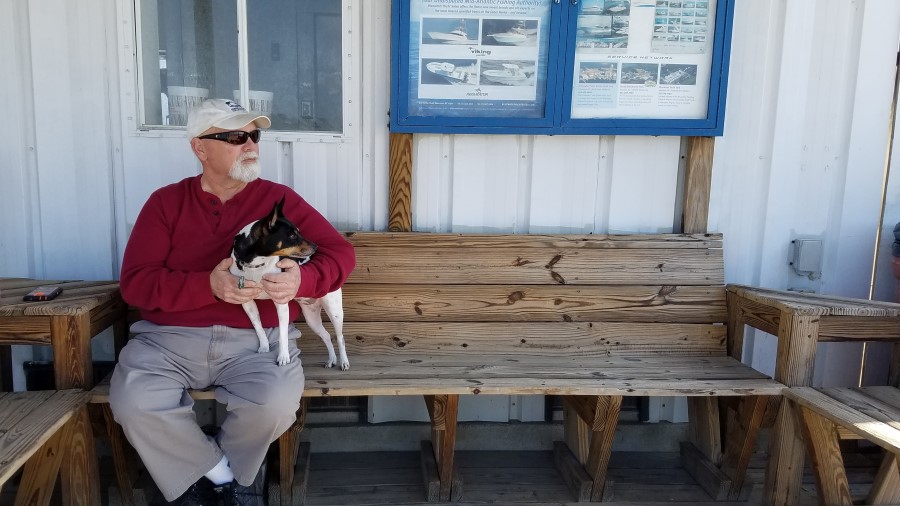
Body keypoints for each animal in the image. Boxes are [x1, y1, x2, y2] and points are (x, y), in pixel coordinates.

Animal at [229, 196, 348, 370]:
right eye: (292, 236)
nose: (316, 246)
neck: (257, 265)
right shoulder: (247, 302)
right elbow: (258, 326)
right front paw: (264, 346)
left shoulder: (281, 303)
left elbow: (283, 334)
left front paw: (283, 357)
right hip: (311, 318)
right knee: (326, 335)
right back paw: (331, 359)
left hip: (335, 311)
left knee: (340, 337)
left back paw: (344, 361)